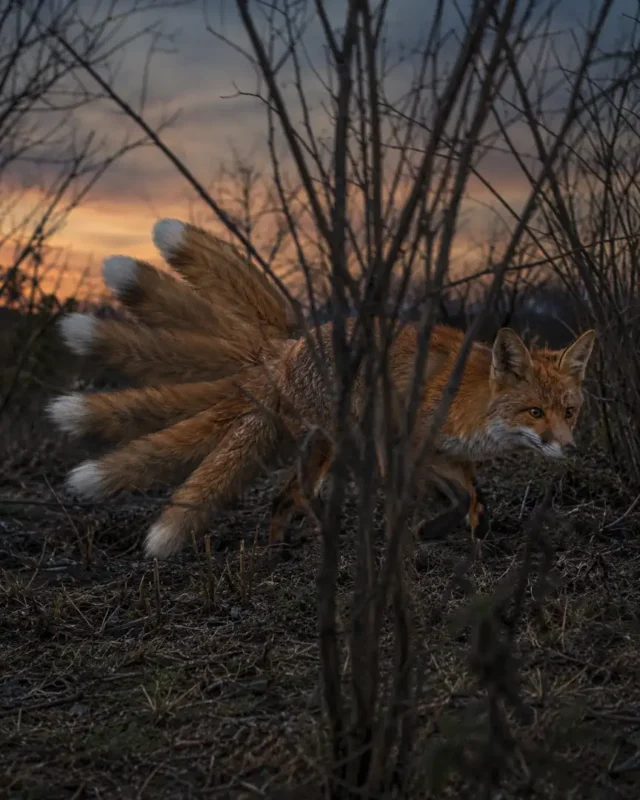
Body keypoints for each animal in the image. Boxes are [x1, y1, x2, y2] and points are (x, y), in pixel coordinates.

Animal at [46, 218, 597, 559]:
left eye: (569, 412)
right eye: (534, 412)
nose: (571, 449)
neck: (467, 402)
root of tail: (288, 350)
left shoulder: (446, 455)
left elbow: (472, 501)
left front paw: (465, 537)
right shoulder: (402, 447)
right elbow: (419, 504)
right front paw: (414, 544)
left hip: (323, 446)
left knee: (281, 499)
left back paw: (279, 553)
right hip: (337, 438)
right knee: (299, 495)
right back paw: (314, 542)